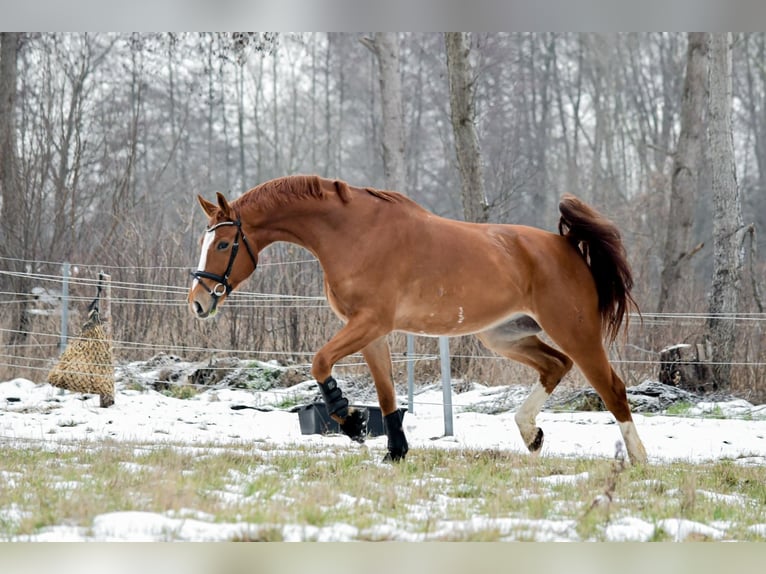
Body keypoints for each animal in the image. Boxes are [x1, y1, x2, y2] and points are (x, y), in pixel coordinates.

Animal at [188, 177, 648, 468]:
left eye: (225, 244)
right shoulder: (371, 333)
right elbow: (387, 395)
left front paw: (352, 423)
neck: (353, 234)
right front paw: (394, 451)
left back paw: (639, 459)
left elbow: (320, 362)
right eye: (204, 241)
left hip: (575, 332)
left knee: (611, 387)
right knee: (555, 366)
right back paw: (530, 433)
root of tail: (566, 247)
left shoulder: (369, 323)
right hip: (504, 335)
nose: (197, 303)